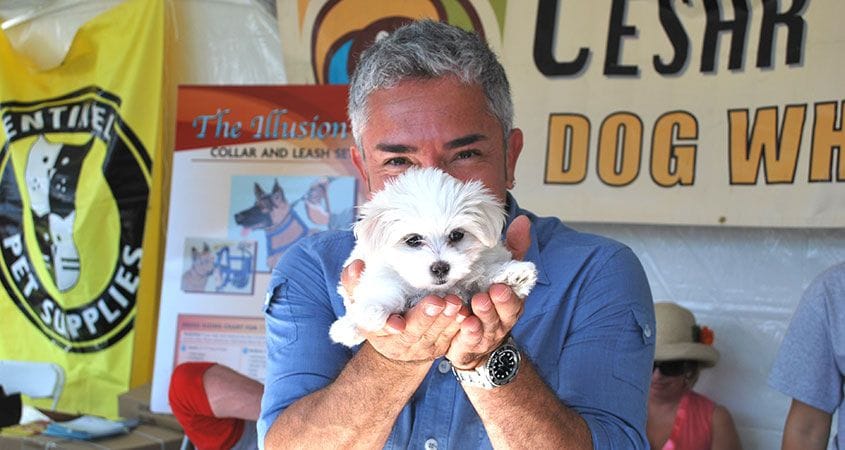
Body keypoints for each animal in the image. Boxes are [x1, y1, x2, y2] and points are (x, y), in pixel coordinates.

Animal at [326, 167, 536, 346]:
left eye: (456, 235)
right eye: (413, 240)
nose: (440, 268)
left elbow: (485, 269)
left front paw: (513, 275)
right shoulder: (381, 268)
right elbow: (386, 285)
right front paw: (372, 309)